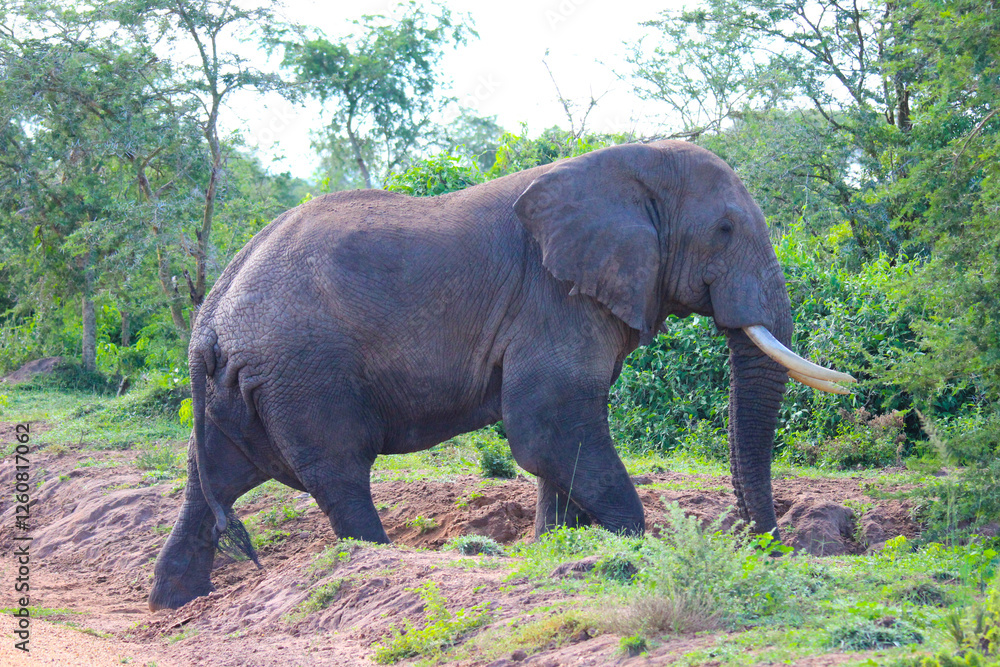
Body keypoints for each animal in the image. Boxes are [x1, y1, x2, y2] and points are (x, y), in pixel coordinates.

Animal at [148, 140, 853, 611]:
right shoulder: (553, 299)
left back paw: (173, 604)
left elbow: (558, 443)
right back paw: (376, 559)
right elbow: (546, 429)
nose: (767, 546)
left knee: (212, 481)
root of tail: (208, 319)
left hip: (242, 389)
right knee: (338, 473)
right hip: (303, 373)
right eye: (725, 229)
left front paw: (551, 549)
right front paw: (635, 548)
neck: (624, 166)